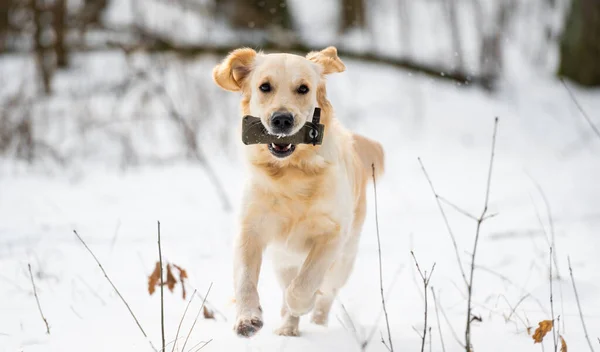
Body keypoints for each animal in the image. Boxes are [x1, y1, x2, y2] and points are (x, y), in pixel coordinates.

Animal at [213, 45, 386, 336]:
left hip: (345, 258)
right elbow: (245, 279)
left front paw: (300, 303)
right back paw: (287, 328)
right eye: (265, 86)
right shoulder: (251, 230)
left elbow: (306, 282)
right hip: (283, 260)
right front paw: (247, 318)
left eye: (303, 89)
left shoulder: (332, 234)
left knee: (326, 292)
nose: (282, 119)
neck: (291, 172)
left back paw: (317, 320)